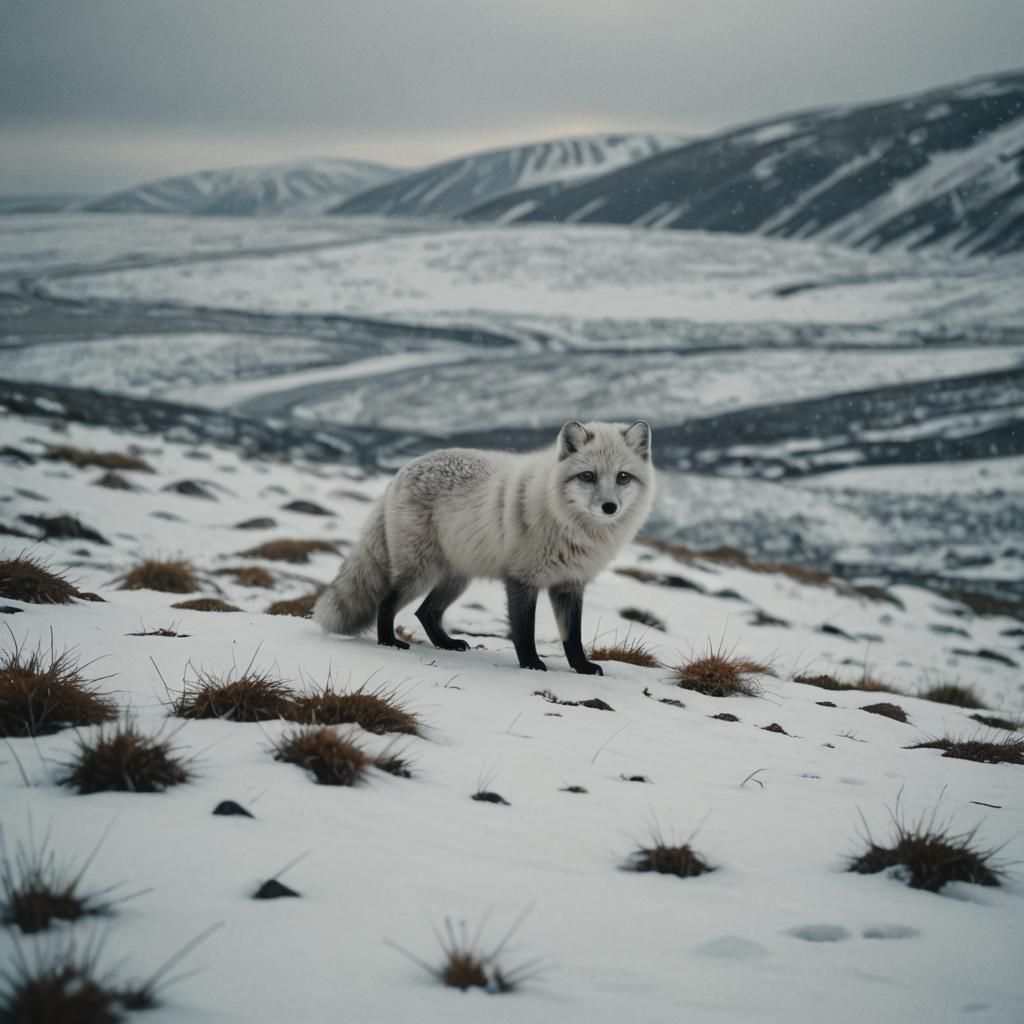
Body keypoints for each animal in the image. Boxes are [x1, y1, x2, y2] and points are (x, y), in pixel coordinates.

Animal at [313, 420, 654, 674]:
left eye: (623, 477)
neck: (570, 525)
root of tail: (400, 472)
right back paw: (388, 643)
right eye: (588, 476)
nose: (610, 507)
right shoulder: (522, 579)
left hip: (455, 579)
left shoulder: (570, 583)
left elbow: (573, 636)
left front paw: (582, 667)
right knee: (386, 604)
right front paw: (531, 665)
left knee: (426, 612)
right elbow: (524, 631)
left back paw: (447, 644)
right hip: (420, 573)